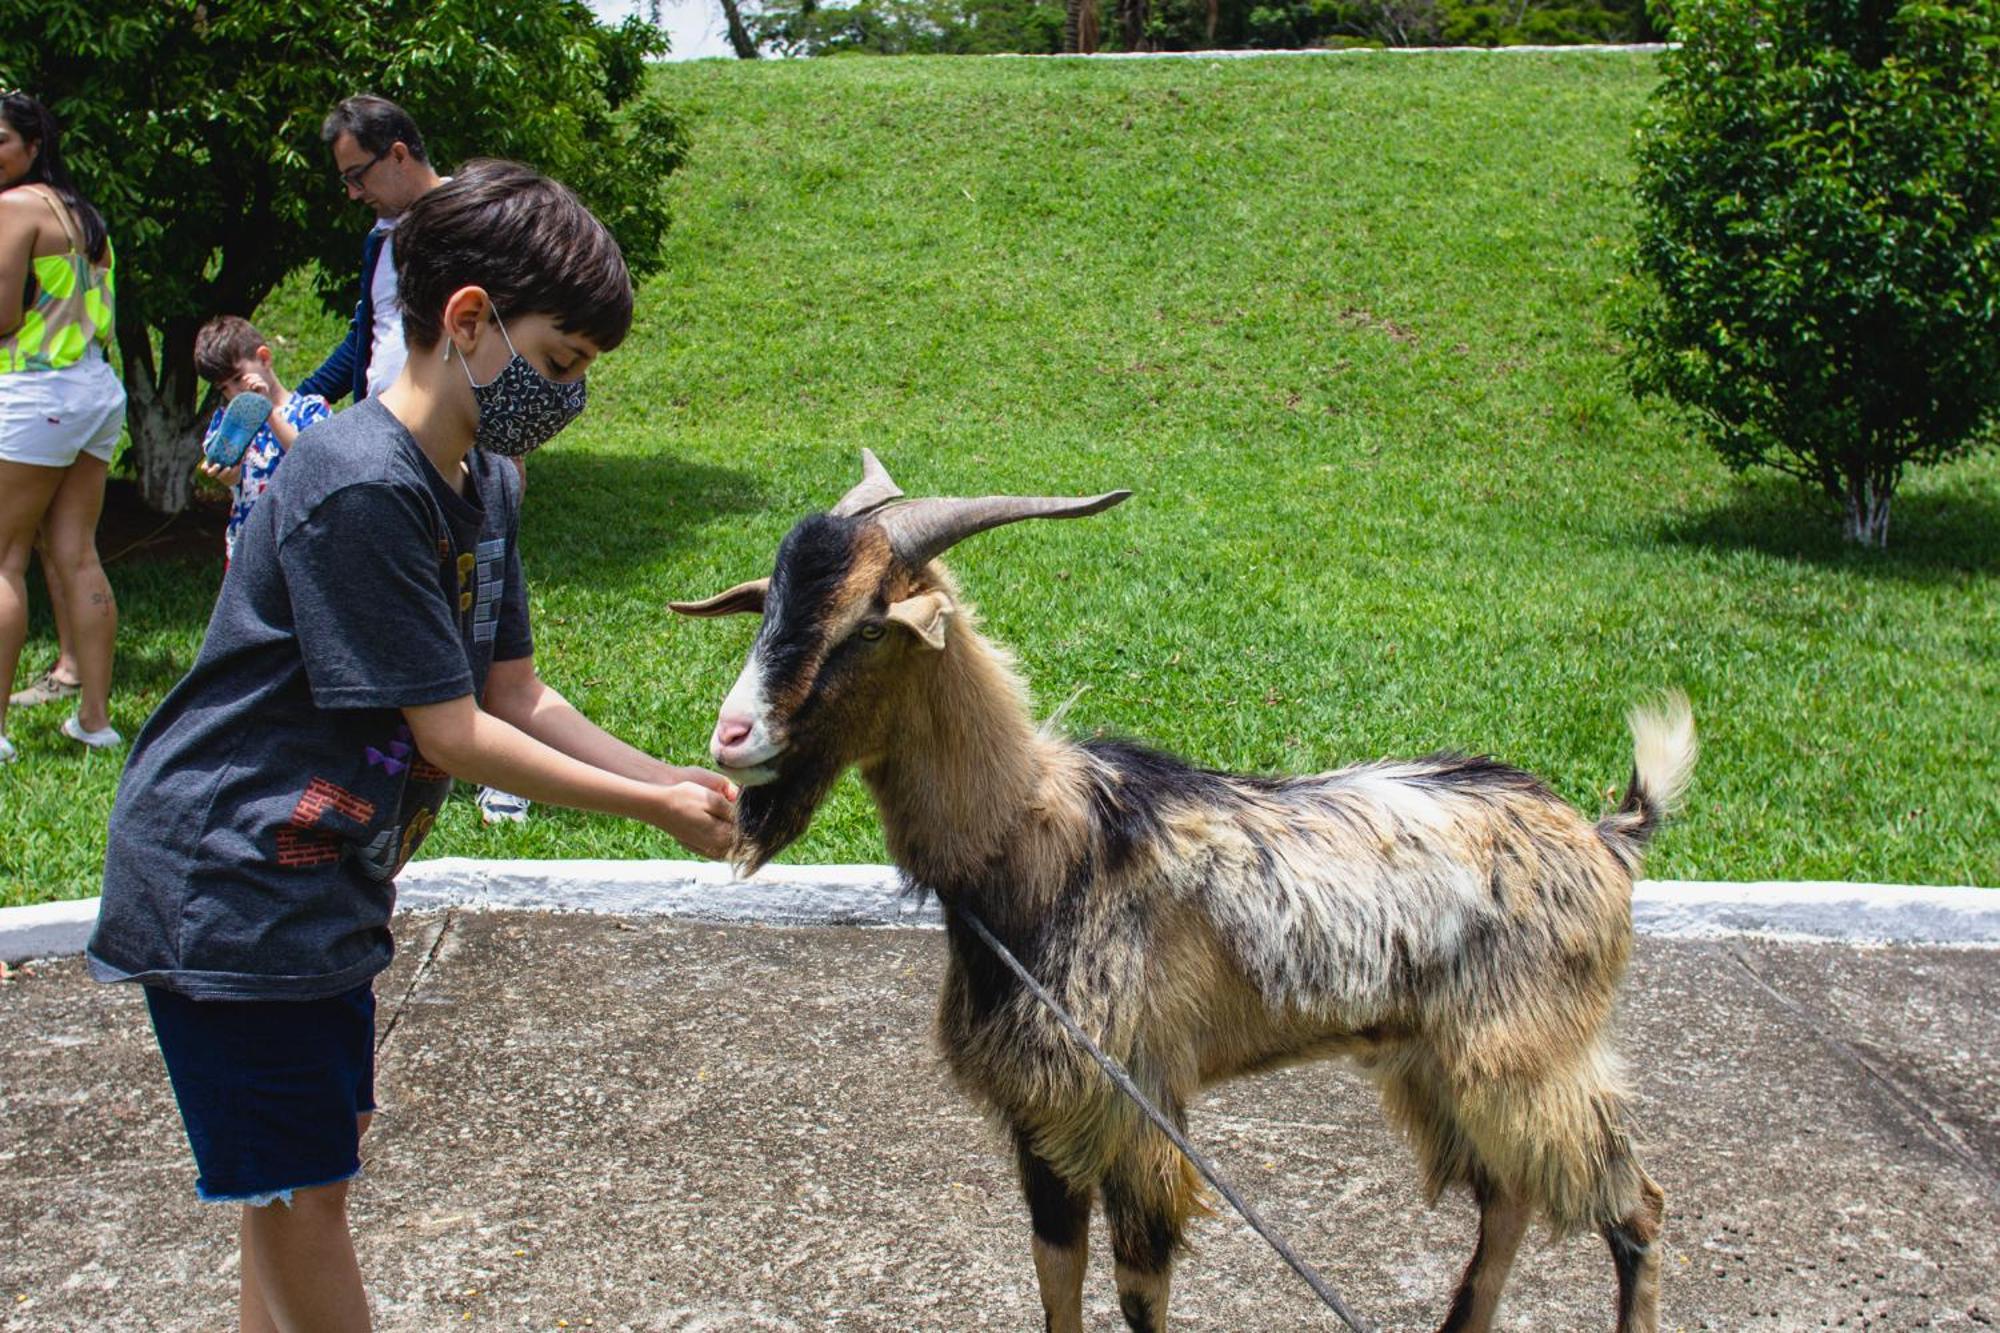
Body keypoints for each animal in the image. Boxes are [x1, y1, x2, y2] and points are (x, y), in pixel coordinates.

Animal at [668, 448, 1688, 1328]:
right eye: (768, 608)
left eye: (870, 622)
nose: (730, 738)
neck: (1038, 844)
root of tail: (1608, 835)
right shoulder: (1042, 1117)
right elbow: (1056, 1279)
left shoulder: (1136, 1105)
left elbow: (1138, 1291)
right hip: (1443, 1060)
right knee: (1511, 1201)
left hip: (1532, 1057)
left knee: (1636, 1206)